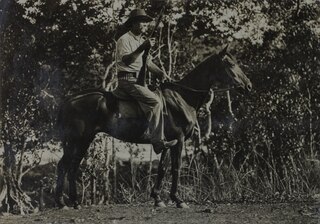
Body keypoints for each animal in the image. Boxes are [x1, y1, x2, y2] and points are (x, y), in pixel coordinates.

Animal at [54, 45, 252, 208]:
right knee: (67, 165)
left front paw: (157, 198)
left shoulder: (166, 141)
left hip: (81, 141)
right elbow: (176, 167)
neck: (182, 97)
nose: (248, 86)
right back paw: (65, 202)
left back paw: (70, 202)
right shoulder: (179, 139)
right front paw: (177, 199)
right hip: (80, 139)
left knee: (69, 165)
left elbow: (162, 168)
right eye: (230, 64)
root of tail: (68, 101)